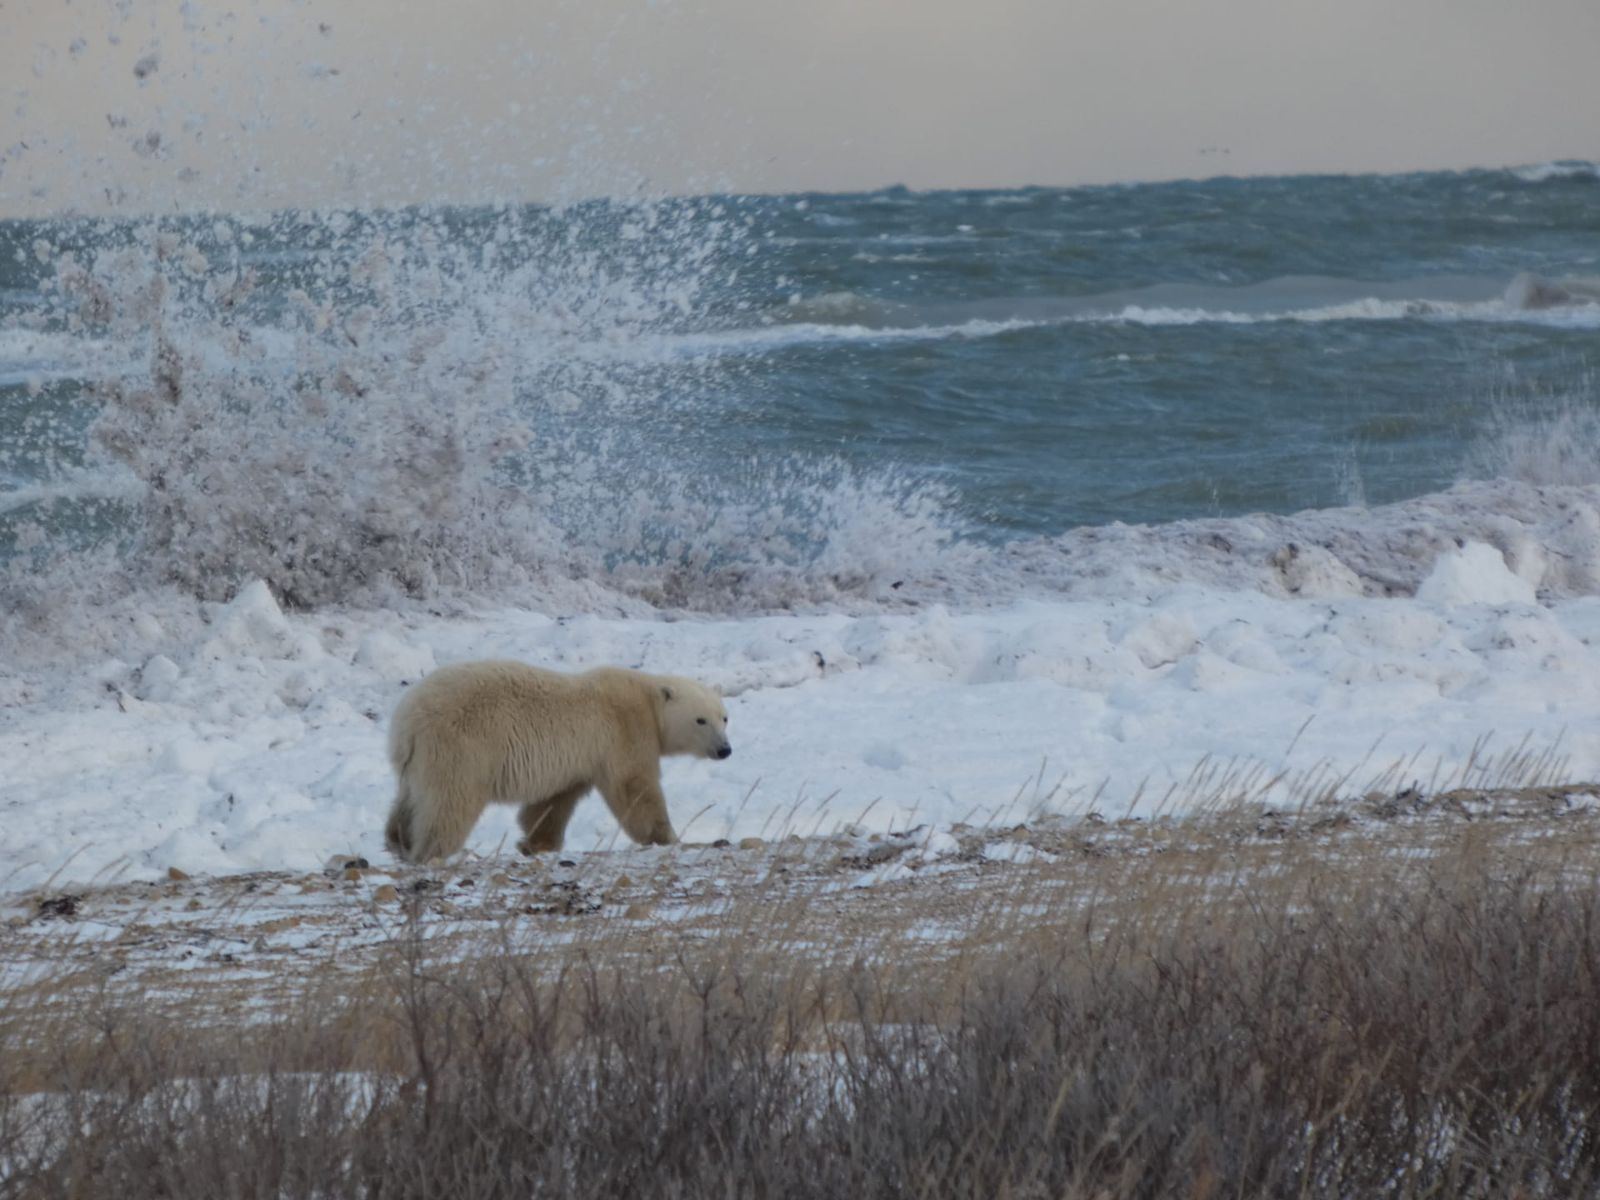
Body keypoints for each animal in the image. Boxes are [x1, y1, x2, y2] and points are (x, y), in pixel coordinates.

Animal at [383, 661, 732, 863]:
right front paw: (669, 837)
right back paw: (433, 851)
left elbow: (554, 801)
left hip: (416, 760)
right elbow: (635, 787)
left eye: (724, 717)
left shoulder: (578, 759)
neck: (648, 699)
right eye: (701, 720)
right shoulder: (625, 731)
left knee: (410, 798)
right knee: (451, 800)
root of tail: (408, 720)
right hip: (462, 745)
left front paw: (536, 842)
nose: (725, 750)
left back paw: (398, 839)